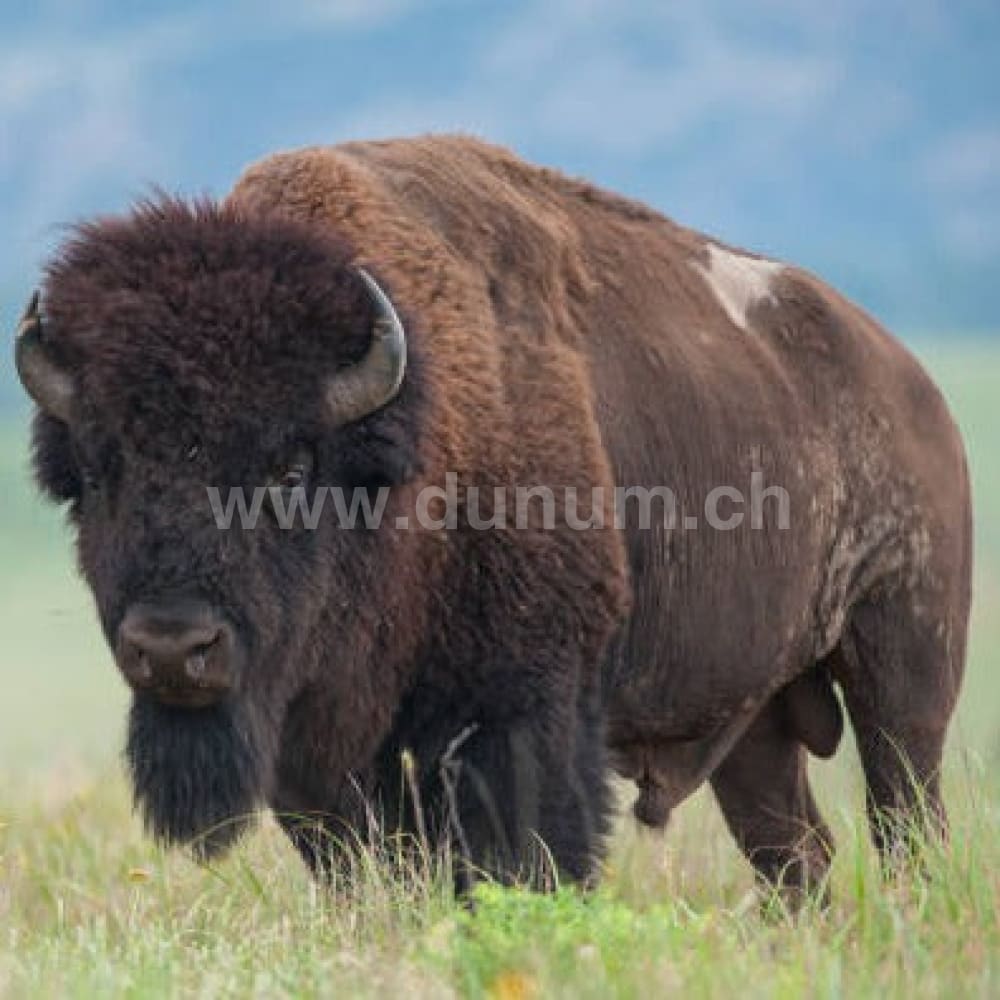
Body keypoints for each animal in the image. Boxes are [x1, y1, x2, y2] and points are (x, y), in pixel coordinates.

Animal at [16, 136, 971, 896]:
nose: (173, 647)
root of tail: (915, 386)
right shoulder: (320, 756)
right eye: (98, 470)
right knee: (795, 854)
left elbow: (525, 854)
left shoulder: (521, 717)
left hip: (903, 670)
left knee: (907, 819)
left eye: (290, 466)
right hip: (755, 721)